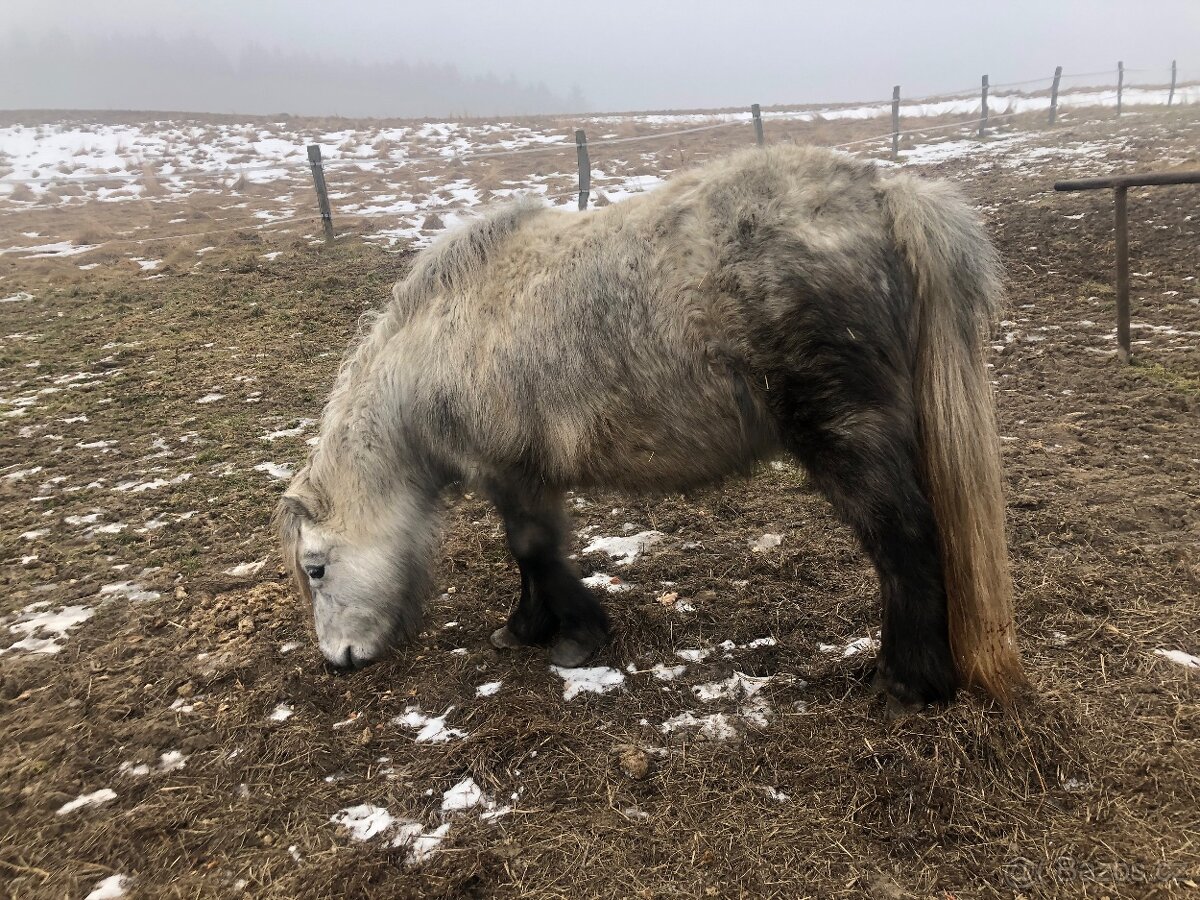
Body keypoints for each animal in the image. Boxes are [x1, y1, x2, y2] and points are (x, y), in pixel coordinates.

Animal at [276, 143, 1026, 708]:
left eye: (316, 568)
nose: (339, 658)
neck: (443, 334)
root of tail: (880, 194)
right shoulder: (527, 474)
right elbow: (535, 552)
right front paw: (529, 627)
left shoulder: (507, 471)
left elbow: (531, 550)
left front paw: (574, 638)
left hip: (846, 433)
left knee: (903, 538)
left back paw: (907, 684)